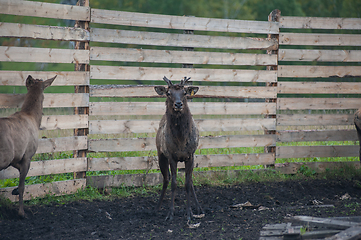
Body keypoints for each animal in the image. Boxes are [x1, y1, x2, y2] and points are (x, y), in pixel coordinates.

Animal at [0, 75, 56, 218]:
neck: (33, 118)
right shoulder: (28, 155)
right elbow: (22, 186)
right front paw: (21, 212)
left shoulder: (17, 156)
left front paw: (13, 191)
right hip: (3, 156)